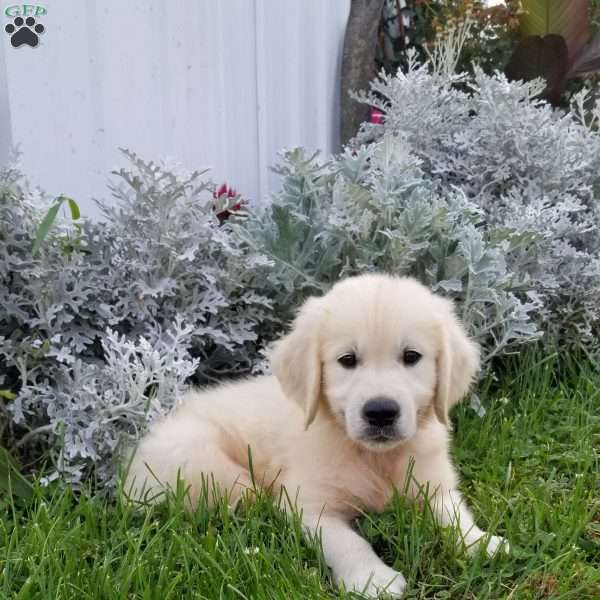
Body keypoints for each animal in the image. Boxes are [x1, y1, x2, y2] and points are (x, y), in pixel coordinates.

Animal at [125, 274, 506, 596]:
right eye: (347, 360)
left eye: (411, 356)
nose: (381, 412)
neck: (373, 457)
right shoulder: (306, 505)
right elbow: (348, 541)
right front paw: (373, 579)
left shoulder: (435, 484)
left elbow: (453, 514)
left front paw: (480, 542)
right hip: (204, 466)